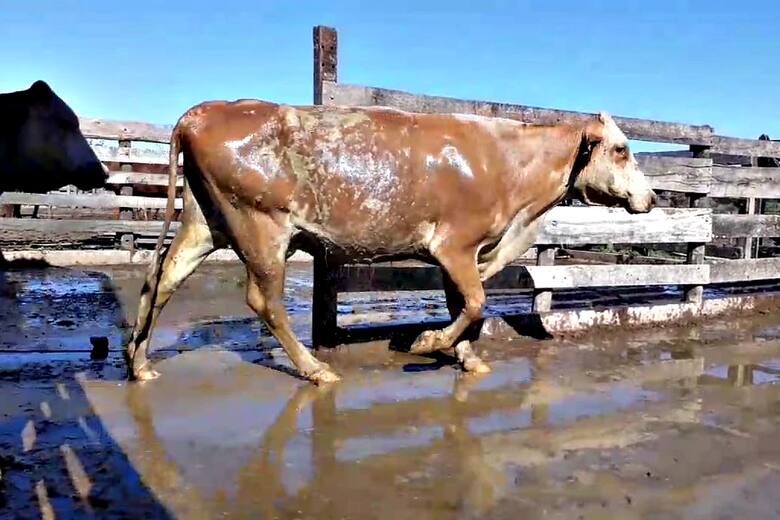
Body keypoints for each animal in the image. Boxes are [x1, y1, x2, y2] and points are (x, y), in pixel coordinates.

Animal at [125, 101, 656, 383]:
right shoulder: (456, 245)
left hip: (204, 222)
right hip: (261, 226)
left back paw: (139, 363)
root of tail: (203, 112)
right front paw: (428, 343)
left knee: (162, 279)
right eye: (621, 149)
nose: (649, 197)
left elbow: (462, 304)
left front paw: (466, 357)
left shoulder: (457, 254)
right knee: (264, 299)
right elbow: (476, 302)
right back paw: (316, 369)